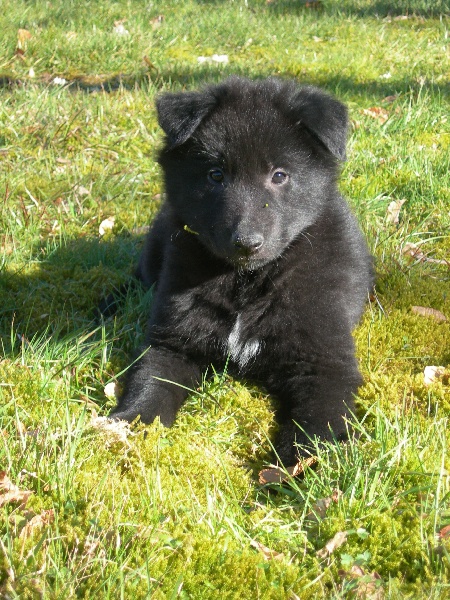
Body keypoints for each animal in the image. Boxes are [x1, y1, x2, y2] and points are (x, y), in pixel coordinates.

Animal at [111, 77, 372, 466]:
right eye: (215, 174)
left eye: (279, 175)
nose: (247, 243)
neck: (246, 281)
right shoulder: (172, 341)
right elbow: (150, 384)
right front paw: (125, 427)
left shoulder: (325, 362)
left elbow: (317, 424)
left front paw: (297, 468)